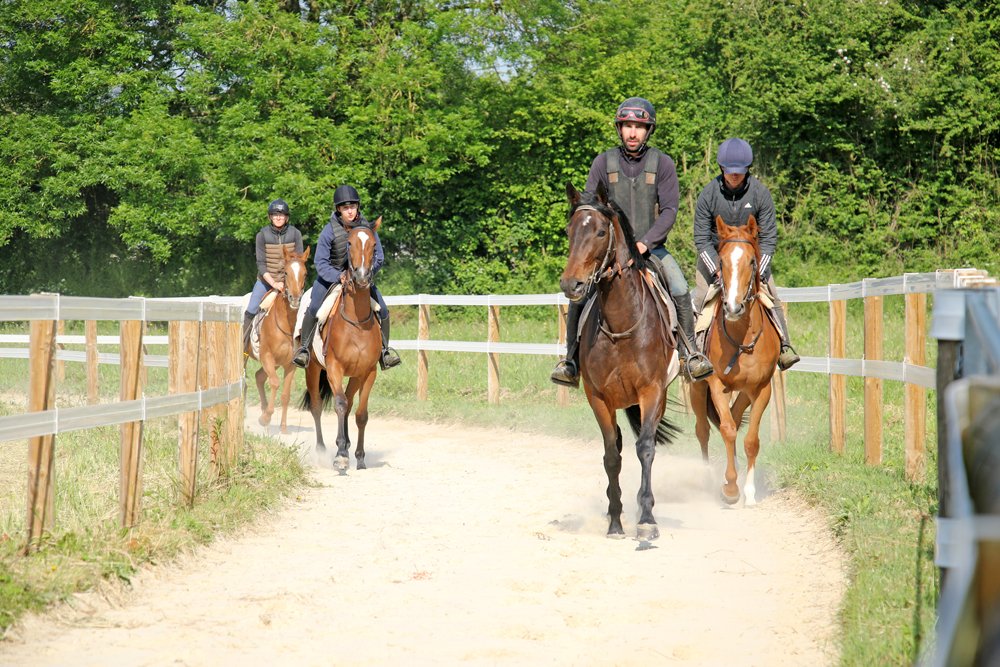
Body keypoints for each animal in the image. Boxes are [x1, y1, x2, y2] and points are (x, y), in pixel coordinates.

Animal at [246, 245, 310, 434]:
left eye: (305, 273)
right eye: (286, 272)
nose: (295, 298)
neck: (285, 324)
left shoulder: (290, 364)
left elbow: (285, 395)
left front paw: (283, 428)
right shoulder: (267, 357)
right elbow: (274, 383)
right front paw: (265, 417)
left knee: (259, 377)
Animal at [300, 217, 384, 471]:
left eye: (374, 245)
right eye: (349, 244)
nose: (362, 276)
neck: (356, 322)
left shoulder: (368, 372)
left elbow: (360, 414)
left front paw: (359, 456)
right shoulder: (334, 369)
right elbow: (338, 404)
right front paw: (340, 456)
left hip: (354, 376)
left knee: (349, 403)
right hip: (312, 369)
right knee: (317, 406)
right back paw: (322, 450)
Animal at [560, 181, 680, 540]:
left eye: (601, 231)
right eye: (570, 231)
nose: (571, 284)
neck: (621, 324)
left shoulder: (652, 392)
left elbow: (646, 448)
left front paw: (647, 519)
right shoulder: (598, 397)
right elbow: (612, 455)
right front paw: (615, 521)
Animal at [690, 214, 781, 506]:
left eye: (752, 261)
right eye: (721, 262)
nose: (733, 306)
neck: (742, 339)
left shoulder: (761, 389)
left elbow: (751, 440)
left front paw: (749, 492)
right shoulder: (716, 384)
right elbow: (728, 429)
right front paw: (730, 488)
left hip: (743, 391)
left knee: (736, 415)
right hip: (697, 389)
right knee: (703, 430)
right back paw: (708, 476)